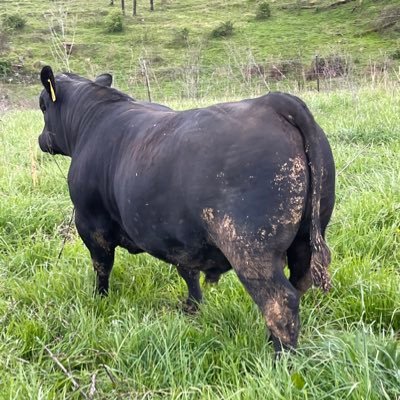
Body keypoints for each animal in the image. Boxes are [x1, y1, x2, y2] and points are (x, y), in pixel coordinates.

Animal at [39, 65, 336, 354]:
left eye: (42, 105)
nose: (42, 140)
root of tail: (273, 101)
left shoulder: (91, 224)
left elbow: (102, 266)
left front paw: (99, 299)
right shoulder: (179, 237)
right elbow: (188, 273)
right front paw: (193, 307)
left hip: (250, 248)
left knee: (280, 303)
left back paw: (279, 358)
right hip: (305, 239)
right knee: (299, 283)